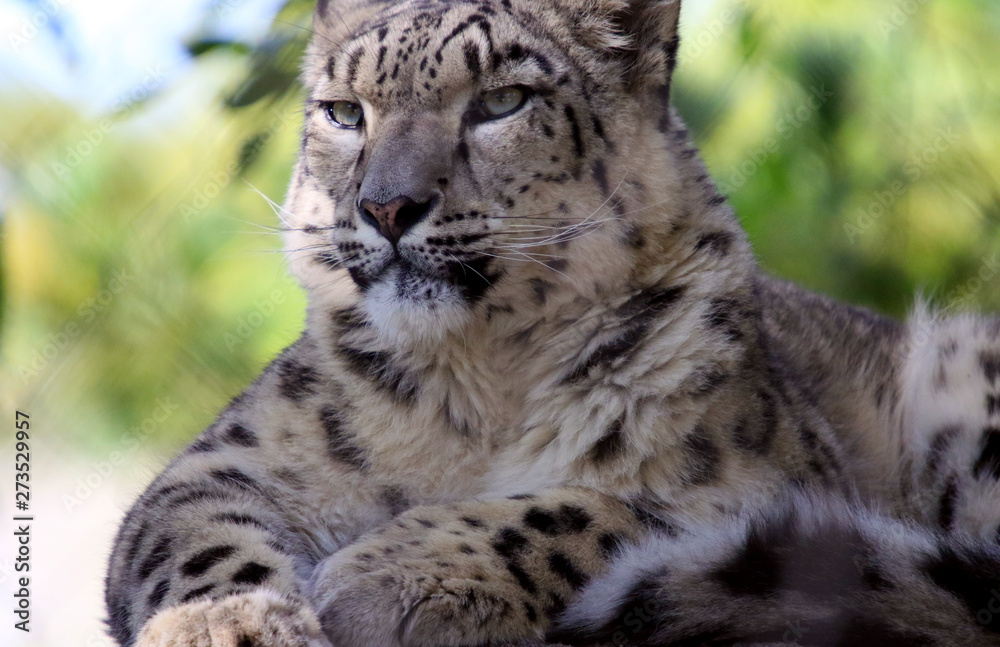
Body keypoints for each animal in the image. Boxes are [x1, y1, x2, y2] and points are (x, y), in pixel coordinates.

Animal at [105, 0, 1000, 645]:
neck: (479, 386)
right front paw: (226, 628)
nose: (387, 206)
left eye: (501, 101)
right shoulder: (229, 459)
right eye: (344, 112)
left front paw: (390, 574)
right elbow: (198, 537)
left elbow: (591, 507)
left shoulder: (774, 482)